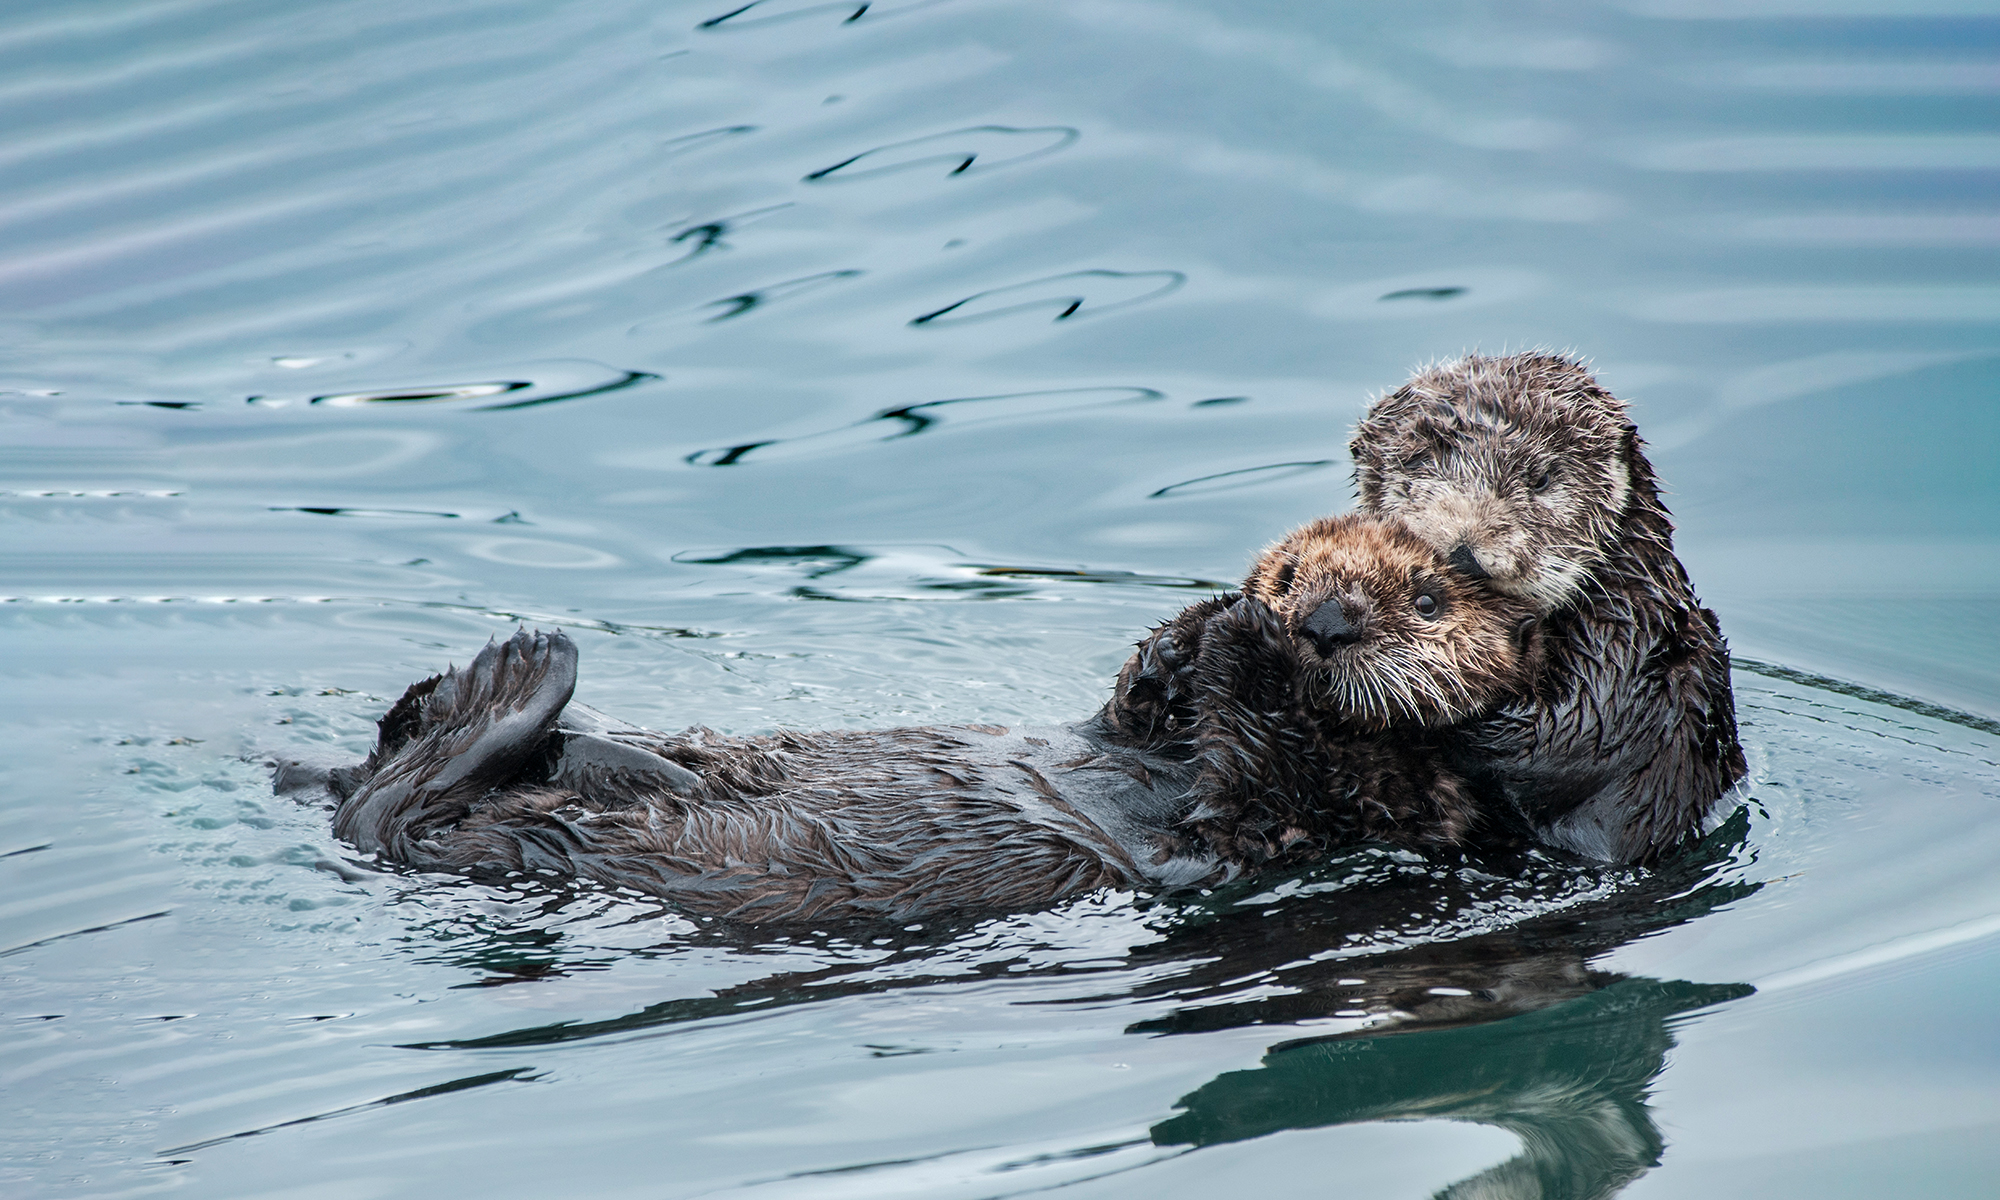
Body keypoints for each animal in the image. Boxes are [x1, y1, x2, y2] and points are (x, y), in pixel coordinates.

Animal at [316, 512, 1528, 920]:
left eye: (1425, 600)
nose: (1315, 611)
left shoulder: (1251, 831)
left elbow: (1264, 772)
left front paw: (1247, 646)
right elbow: (1135, 713)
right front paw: (1195, 632)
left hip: (466, 830)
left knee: (399, 803)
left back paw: (524, 671)